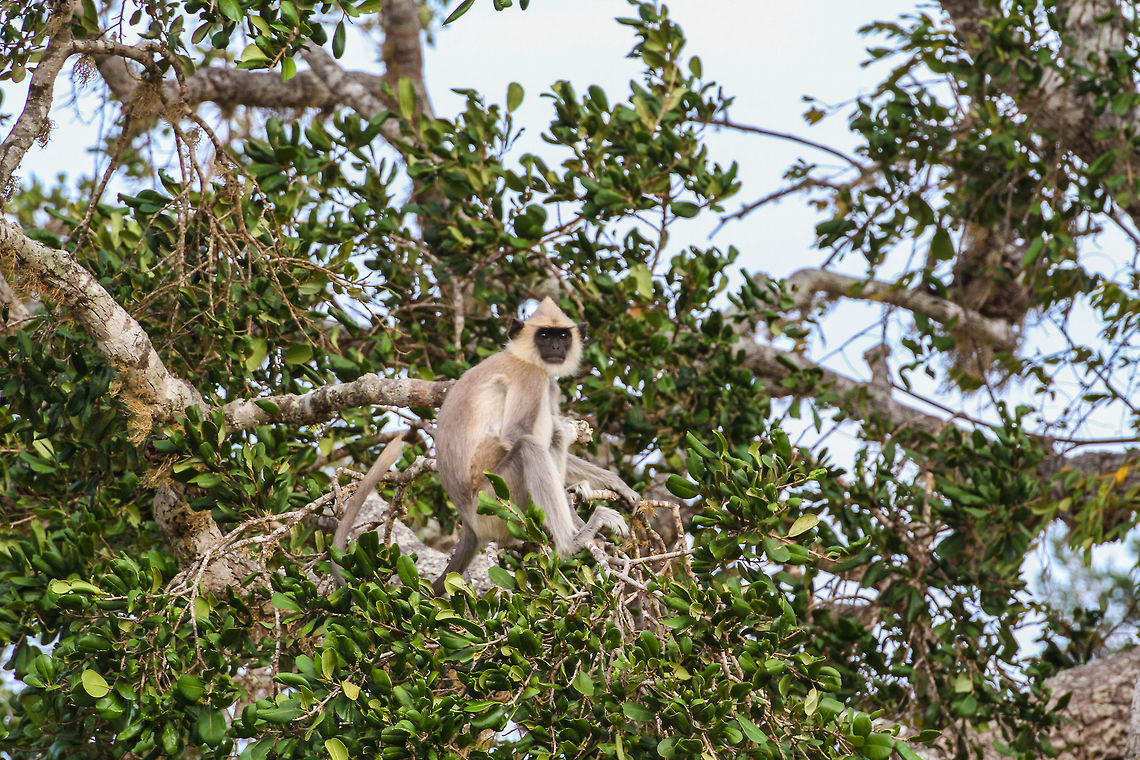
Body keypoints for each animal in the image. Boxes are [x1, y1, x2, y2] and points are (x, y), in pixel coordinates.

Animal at [432, 297, 639, 595]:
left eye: (562, 336)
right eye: (544, 335)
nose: (555, 347)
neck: (521, 356)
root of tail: (469, 522)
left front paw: (617, 484)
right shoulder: (532, 377)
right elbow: (515, 435)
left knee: (555, 434)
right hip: (494, 499)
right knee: (530, 446)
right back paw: (571, 542)